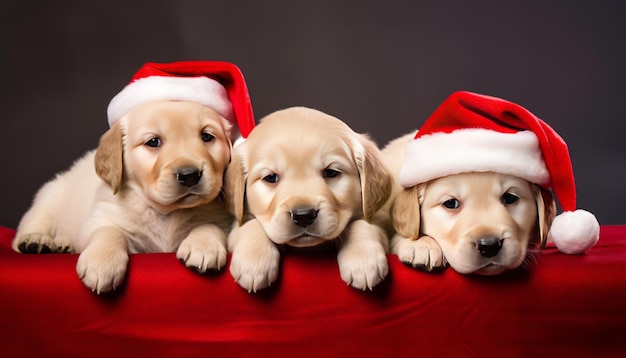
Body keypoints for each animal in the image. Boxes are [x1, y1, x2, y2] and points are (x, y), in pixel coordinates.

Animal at [11, 60, 254, 292]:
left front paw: (203, 245)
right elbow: (108, 230)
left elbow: (209, 225)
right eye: (153, 142)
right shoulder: (101, 215)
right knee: (28, 227)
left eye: (207, 137)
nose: (190, 175)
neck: (167, 213)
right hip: (50, 194)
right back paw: (37, 241)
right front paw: (102, 263)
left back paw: (63, 243)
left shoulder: (221, 219)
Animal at [224, 107, 390, 292]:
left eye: (331, 172)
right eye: (271, 177)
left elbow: (364, 223)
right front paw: (253, 261)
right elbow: (248, 224)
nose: (303, 215)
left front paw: (363, 259)